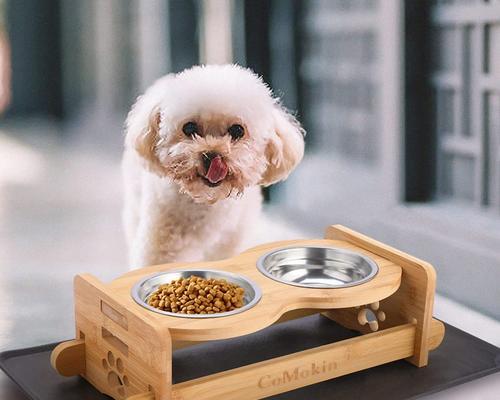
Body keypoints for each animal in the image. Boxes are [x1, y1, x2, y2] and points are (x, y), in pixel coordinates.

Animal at [124, 64, 304, 268]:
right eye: (189, 128)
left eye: (237, 130)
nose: (211, 155)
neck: (207, 202)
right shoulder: (161, 247)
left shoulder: (229, 246)